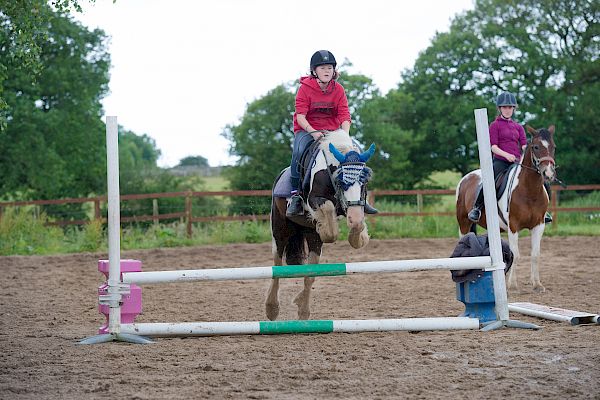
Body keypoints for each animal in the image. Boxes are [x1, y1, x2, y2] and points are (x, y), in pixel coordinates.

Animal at [266, 130, 372, 320]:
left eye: (364, 182)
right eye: (340, 181)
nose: (353, 215)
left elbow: (358, 224)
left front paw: (358, 238)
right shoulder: (313, 200)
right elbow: (328, 212)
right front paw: (327, 230)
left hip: (310, 238)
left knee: (310, 275)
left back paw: (303, 309)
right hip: (280, 231)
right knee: (277, 266)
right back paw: (272, 308)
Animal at [454, 126, 556, 292]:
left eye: (553, 147)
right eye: (536, 147)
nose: (548, 173)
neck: (529, 191)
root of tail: (466, 178)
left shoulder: (539, 225)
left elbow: (535, 254)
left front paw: (537, 284)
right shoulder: (513, 226)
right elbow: (516, 254)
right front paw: (512, 284)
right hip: (463, 223)